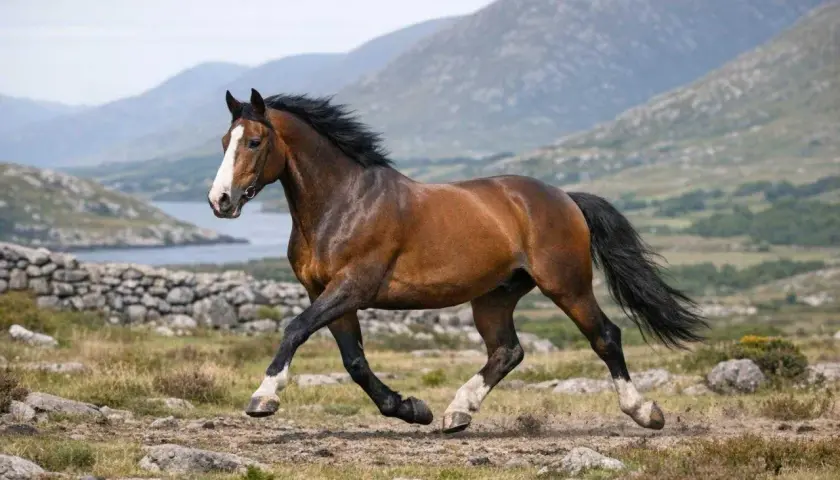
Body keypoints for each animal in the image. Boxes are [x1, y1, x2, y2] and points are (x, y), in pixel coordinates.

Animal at [207, 88, 707, 433]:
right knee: (508, 351)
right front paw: (411, 409)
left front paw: (263, 397)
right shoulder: (327, 293)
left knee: (605, 336)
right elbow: (354, 361)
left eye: (254, 141)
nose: (220, 200)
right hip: (495, 295)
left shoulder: (351, 287)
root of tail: (565, 197)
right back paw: (456, 412)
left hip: (567, 284)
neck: (344, 202)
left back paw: (645, 412)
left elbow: (295, 329)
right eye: (224, 140)